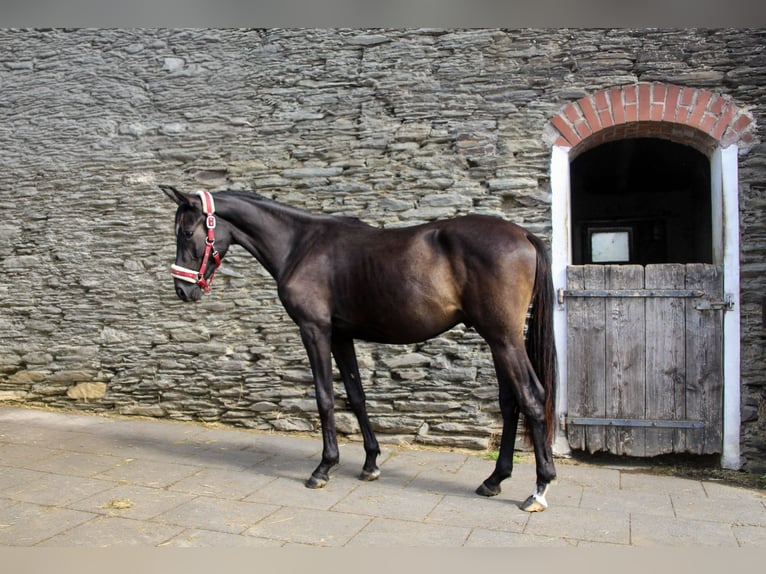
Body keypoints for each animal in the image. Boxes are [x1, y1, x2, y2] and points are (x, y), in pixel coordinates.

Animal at [161, 185, 557, 512]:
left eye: (187, 231)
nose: (183, 289)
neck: (301, 245)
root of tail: (522, 234)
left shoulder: (315, 331)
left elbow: (324, 397)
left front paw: (324, 467)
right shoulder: (341, 335)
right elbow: (356, 395)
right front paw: (370, 463)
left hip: (504, 339)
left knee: (532, 397)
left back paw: (539, 489)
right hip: (497, 339)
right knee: (510, 403)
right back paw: (494, 480)